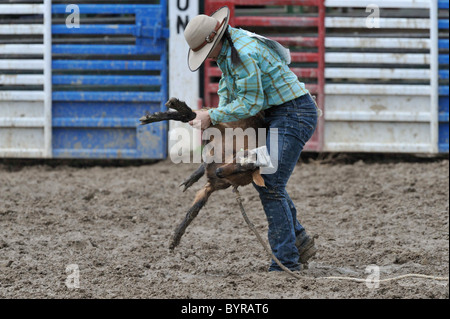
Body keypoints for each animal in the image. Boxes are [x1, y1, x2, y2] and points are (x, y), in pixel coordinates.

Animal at [140, 97, 268, 250]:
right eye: (238, 159)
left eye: (241, 171)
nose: (219, 172)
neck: (224, 159)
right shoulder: (219, 129)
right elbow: (191, 116)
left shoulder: (210, 186)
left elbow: (194, 210)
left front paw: (175, 238)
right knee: (192, 115)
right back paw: (160, 113)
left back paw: (192, 178)